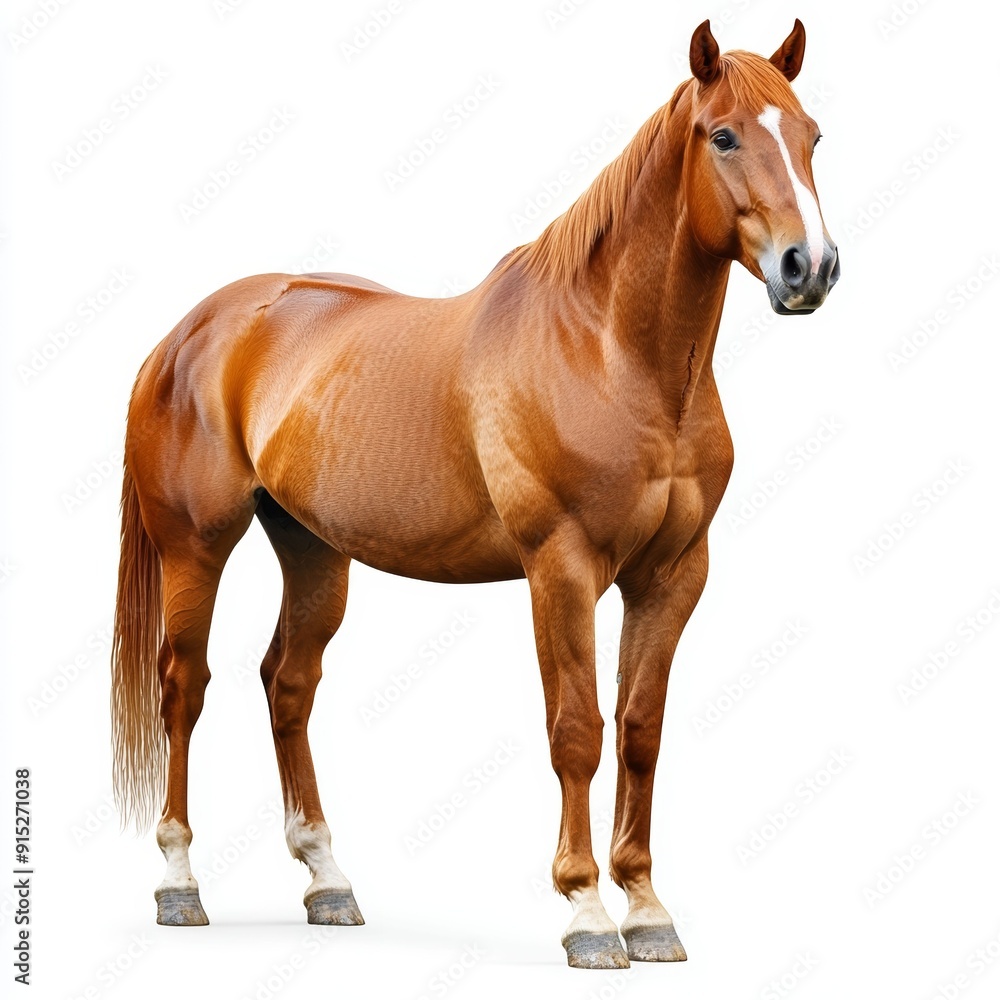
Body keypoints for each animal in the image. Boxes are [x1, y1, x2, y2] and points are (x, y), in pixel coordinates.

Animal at [111, 18, 839, 969]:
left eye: (813, 137)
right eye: (722, 137)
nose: (809, 267)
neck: (610, 352)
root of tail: (187, 333)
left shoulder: (674, 574)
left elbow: (640, 731)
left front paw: (648, 910)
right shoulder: (561, 568)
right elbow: (578, 731)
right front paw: (586, 915)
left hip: (312, 547)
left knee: (288, 684)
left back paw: (328, 880)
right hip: (196, 547)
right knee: (183, 687)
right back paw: (178, 882)